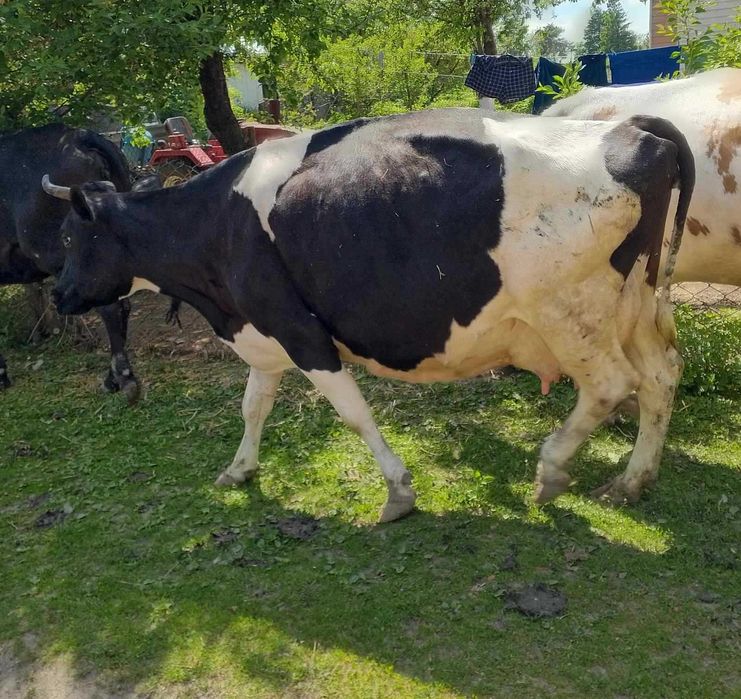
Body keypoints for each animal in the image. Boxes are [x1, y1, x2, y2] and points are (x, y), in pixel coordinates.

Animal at [44, 109, 694, 519]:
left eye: (73, 237)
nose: (59, 295)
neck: (216, 229)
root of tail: (630, 128)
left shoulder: (301, 333)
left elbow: (353, 415)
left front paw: (399, 492)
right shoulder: (263, 333)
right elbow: (253, 406)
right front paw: (239, 470)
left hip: (569, 310)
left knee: (611, 384)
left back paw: (553, 469)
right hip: (637, 303)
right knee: (661, 376)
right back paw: (632, 481)